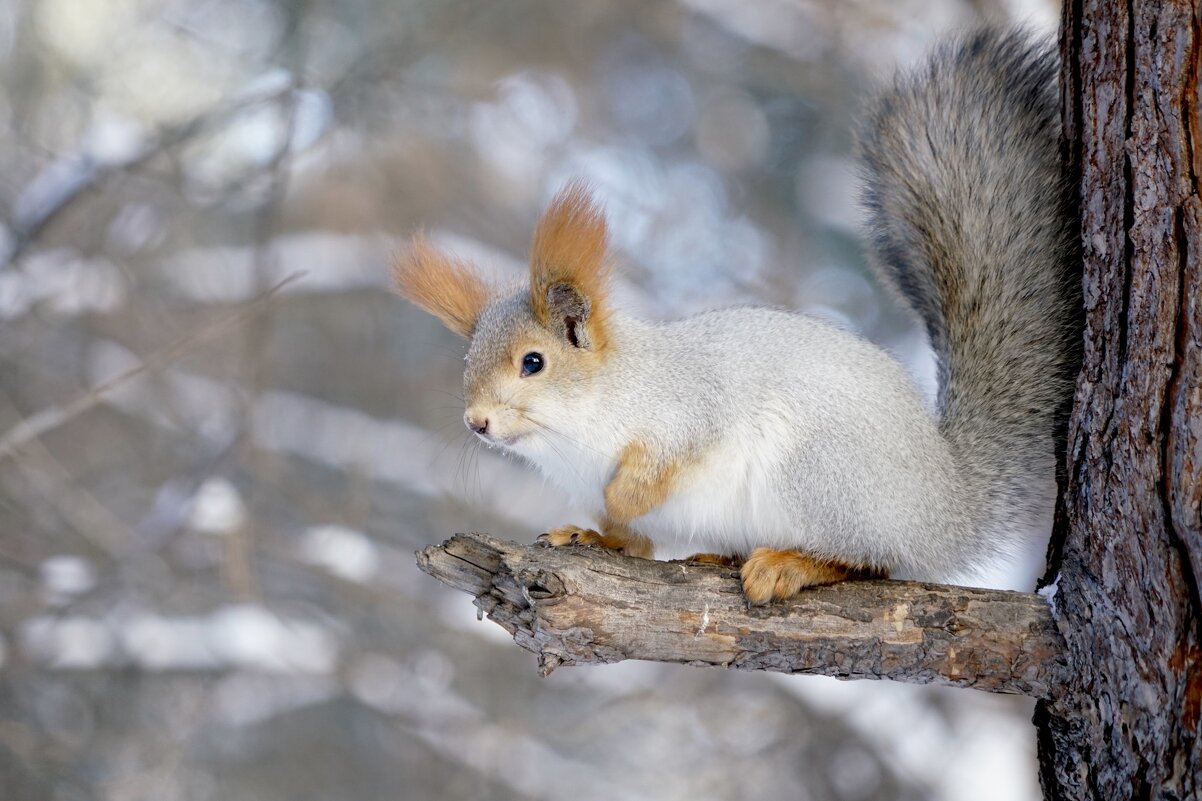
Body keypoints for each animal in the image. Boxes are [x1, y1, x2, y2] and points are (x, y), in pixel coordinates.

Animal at [394, 29, 1081, 606]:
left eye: (533, 362)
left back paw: (789, 564)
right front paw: (594, 536)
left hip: (820, 476)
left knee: (872, 560)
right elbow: (630, 537)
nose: (477, 422)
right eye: (468, 360)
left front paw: (623, 493)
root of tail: (944, 505)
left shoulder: (688, 408)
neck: (574, 429)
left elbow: (662, 463)